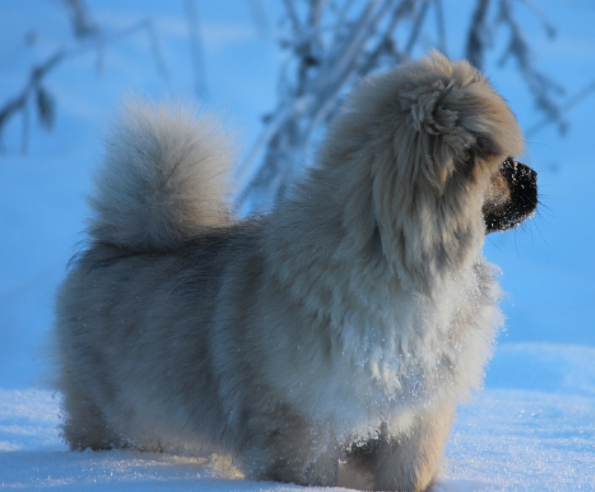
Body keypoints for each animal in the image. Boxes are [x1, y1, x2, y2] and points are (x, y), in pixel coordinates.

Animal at [54, 52, 540, 490]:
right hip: (115, 420)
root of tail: (121, 243)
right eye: (504, 166)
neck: (391, 261)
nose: (534, 177)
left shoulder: (415, 424)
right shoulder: (306, 428)